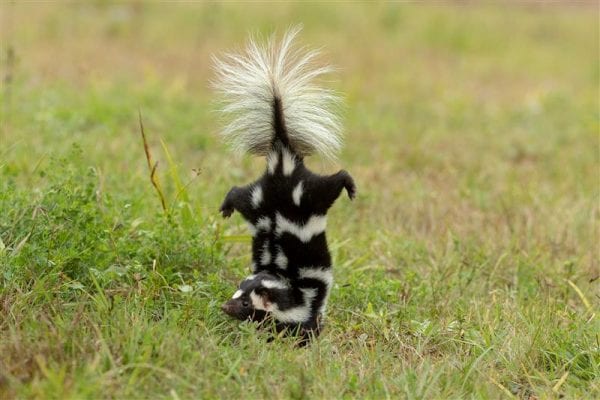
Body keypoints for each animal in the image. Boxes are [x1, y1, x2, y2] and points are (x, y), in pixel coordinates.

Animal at [213, 28, 356, 340]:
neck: (287, 284)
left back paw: (350, 186)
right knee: (238, 192)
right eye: (236, 295)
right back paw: (226, 206)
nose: (225, 307)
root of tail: (282, 159)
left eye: (245, 302)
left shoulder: (308, 304)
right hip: (275, 196)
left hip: (292, 194)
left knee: (334, 180)